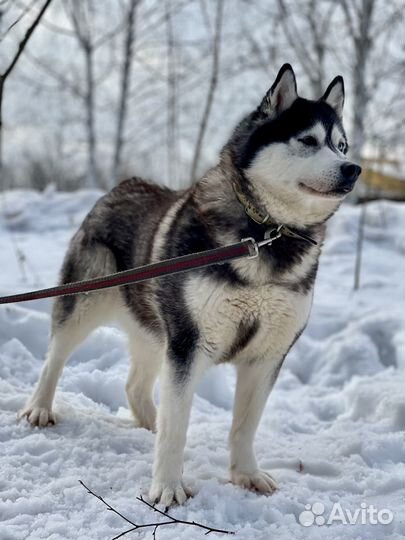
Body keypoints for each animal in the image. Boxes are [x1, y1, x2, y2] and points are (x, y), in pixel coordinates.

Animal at [19, 64, 360, 506]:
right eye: (308, 140)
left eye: (342, 145)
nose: (353, 168)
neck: (266, 233)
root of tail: (124, 184)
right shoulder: (189, 345)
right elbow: (176, 427)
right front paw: (166, 488)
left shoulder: (266, 355)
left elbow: (244, 426)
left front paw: (246, 475)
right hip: (86, 302)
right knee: (55, 358)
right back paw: (40, 408)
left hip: (154, 330)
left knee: (135, 386)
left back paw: (148, 422)